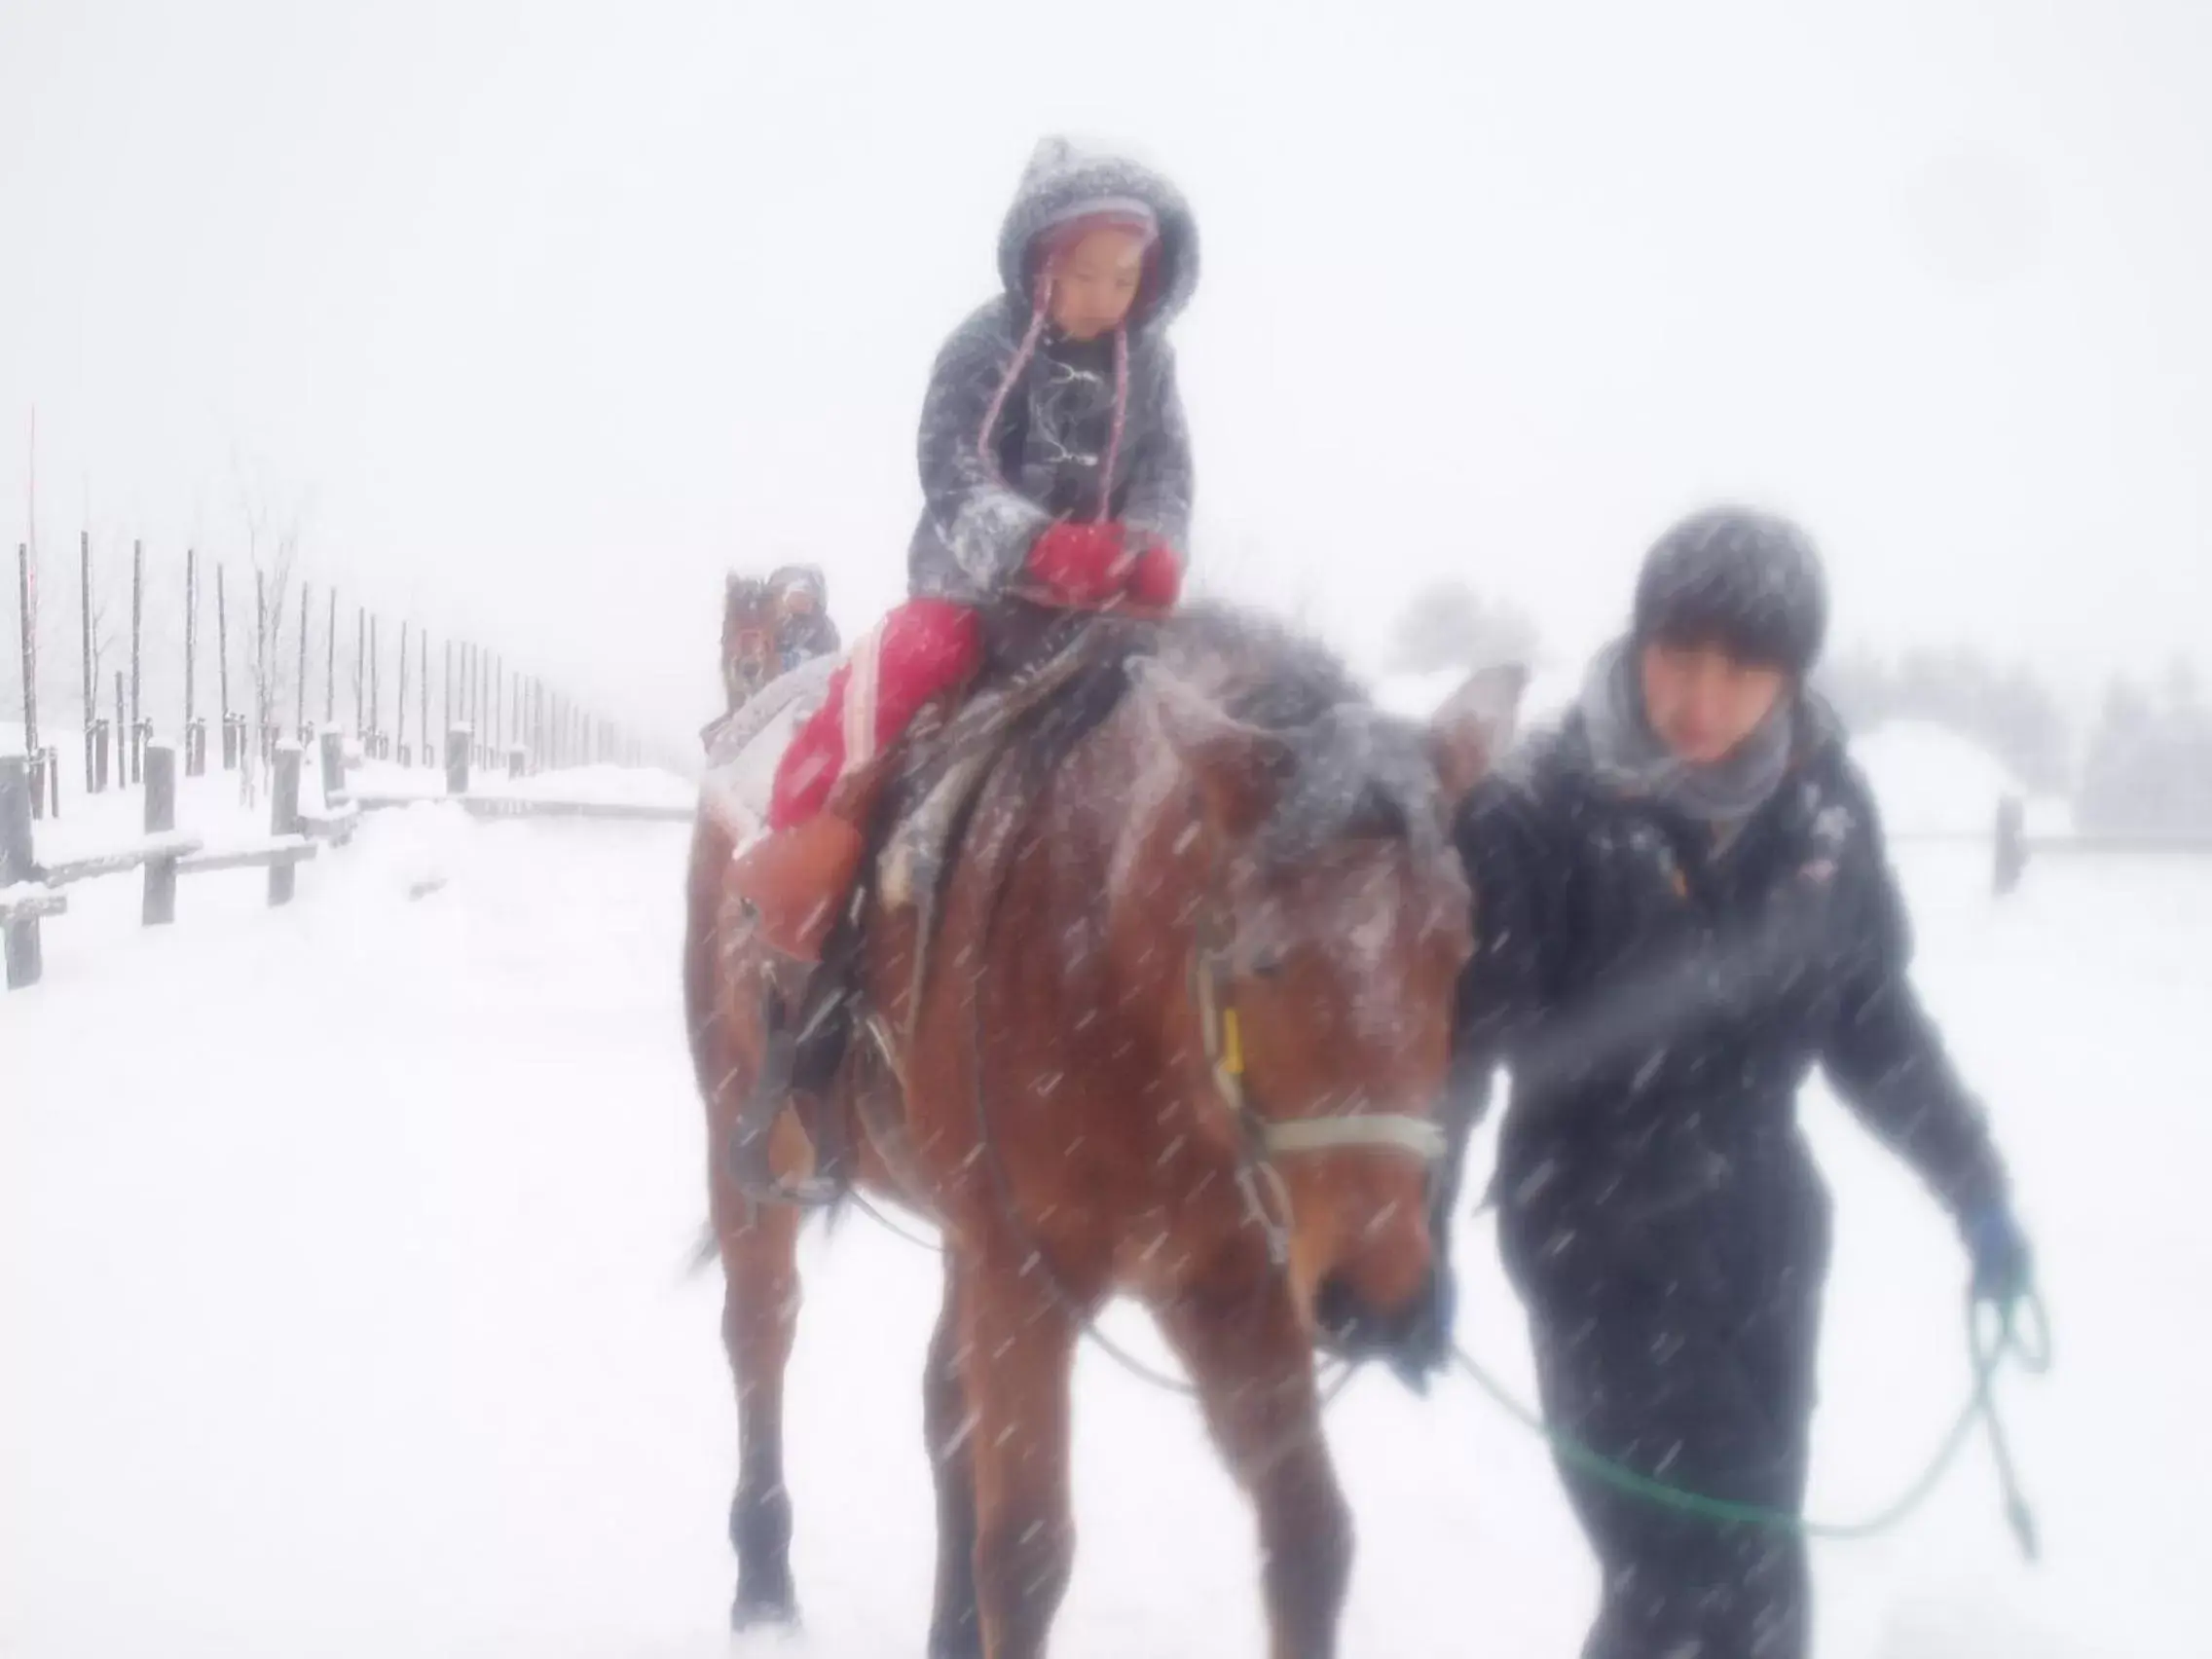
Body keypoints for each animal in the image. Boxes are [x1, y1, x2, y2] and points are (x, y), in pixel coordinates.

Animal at [685, 610, 1522, 1659]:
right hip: (743, 1136)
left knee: (943, 1402)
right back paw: (761, 1579)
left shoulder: (1228, 1285)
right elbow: (1025, 1554)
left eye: (1455, 949)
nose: (1383, 1304)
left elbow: (1310, 1536)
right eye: (1265, 957)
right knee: (760, 1330)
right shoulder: (1026, 1280)